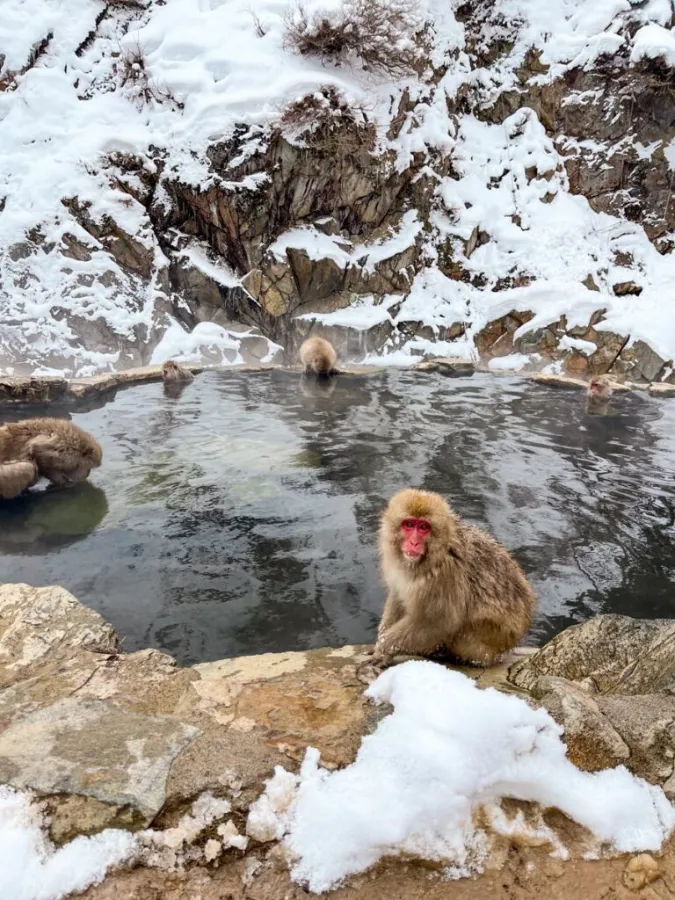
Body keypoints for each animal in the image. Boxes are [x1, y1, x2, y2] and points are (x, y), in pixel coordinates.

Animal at [369, 489, 535, 669]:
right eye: (409, 524)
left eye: (423, 527)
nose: (413, 543)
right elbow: (397, 595)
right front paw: (381, 640)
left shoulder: (444, 576)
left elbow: (440, 621)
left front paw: (384, 648)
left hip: (485, 645)